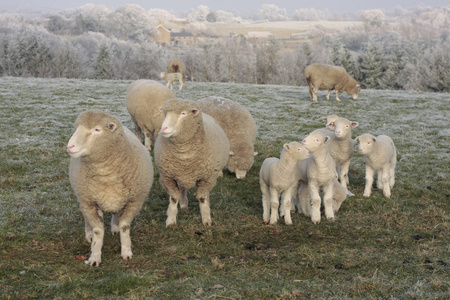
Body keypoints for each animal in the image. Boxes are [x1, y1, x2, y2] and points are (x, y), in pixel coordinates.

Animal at [67, 109, 154, 266]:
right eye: (77, 127)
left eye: (97, 130)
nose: (70, 146)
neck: (106, 175)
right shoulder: (89, 202)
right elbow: (98, 230)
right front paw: (95, 256)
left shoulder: (134, 201)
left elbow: (125, 226)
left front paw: (126, 252)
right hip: (85, 199)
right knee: (88, 219)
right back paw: (89, 235)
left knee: (116, 213)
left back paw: (115, 227)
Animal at [155, 97, 232, 226]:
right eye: (165, 114)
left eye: (183, 113)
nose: (163, 128)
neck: (185, 155)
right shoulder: (167, 177)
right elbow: (174, 198)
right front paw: (170, 220)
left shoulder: (207, 178)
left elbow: (202, 198)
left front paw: (206, 220)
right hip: (180, 175)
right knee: (182, 189)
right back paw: (184, 204)